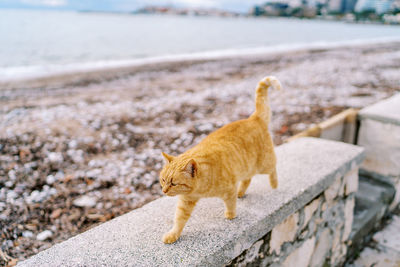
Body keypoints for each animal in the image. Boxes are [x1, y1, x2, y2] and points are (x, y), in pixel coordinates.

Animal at [159, 76, 282, 245]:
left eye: (174, 183)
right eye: (163, 180)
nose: (164, 191)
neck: (200, 189)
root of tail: (254, 117)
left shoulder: (229, 188)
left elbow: (230, 203)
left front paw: (231, 214)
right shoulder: (186, 202)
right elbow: (179, 220)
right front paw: (173, 234)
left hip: (264, 164)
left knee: (273, 168)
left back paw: (274, 184)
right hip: (247, 166)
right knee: (248, 179)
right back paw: (241, 192)